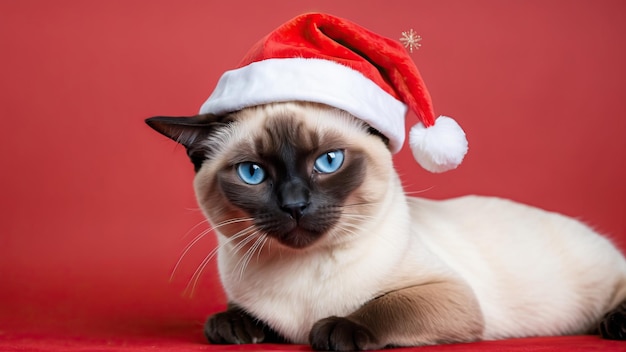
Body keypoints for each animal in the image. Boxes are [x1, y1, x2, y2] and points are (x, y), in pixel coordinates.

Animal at [147, 101, 624, 350]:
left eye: (328, 162)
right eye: (252, 173)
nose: (295, 205)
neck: (301, 271)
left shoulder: (450, 295)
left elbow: (385, 306)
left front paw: (334, 330)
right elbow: (237, 315)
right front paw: (237, 328)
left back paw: (614, 324)